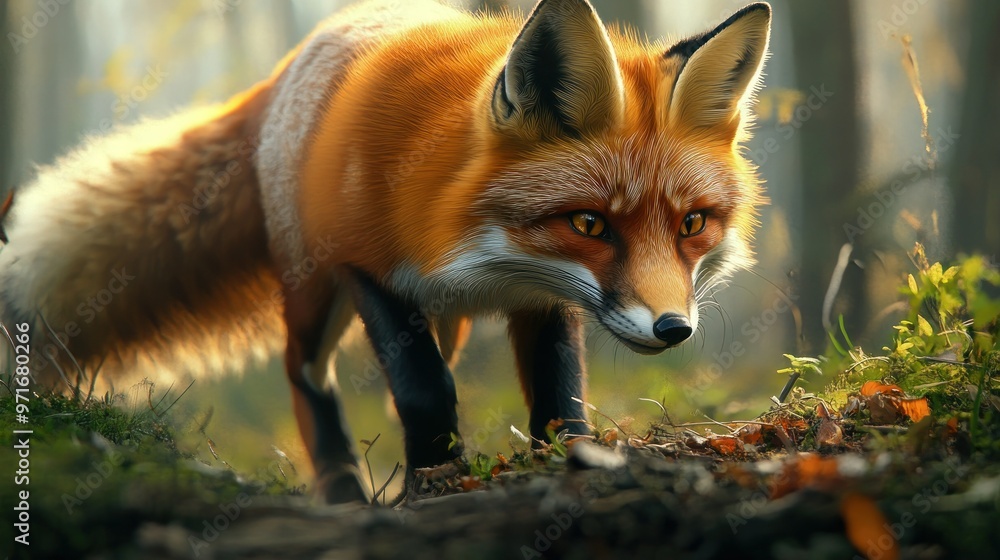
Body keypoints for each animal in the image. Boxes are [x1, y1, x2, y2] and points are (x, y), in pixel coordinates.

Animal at [0, 0, 770, 503]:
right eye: (589, 224)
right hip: (314, 290)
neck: (474, 243)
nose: (674, 329)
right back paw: (343, 488)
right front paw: (432, 484)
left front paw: (568, 460)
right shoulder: (369, 270)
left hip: (442, 318)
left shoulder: (545, 296)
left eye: (692, 224)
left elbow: (559, 394)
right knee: (303, 373)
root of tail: (286, 70)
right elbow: (425, 392)